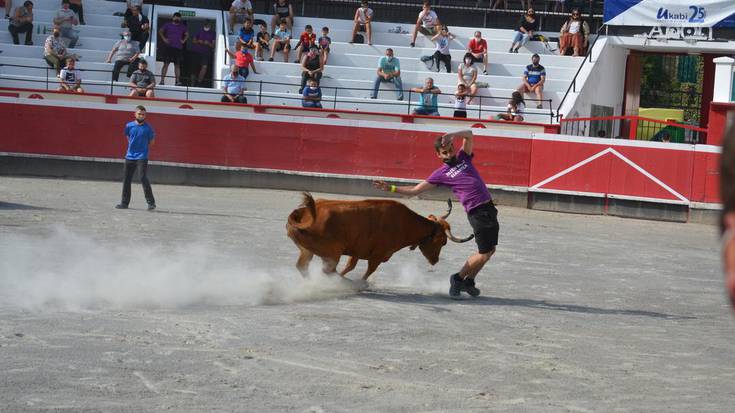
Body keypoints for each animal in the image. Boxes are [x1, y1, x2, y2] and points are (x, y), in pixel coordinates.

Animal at [284, 193, 474, 280]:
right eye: (442, 242)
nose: (435, 261)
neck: (405, 223)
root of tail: (302, 213)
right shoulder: (378, 255)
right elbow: (368, 271)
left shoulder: (357, 251)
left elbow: (350, 266)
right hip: (332, 253)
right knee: (327, 270)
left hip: (307, 250)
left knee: (303, 266)